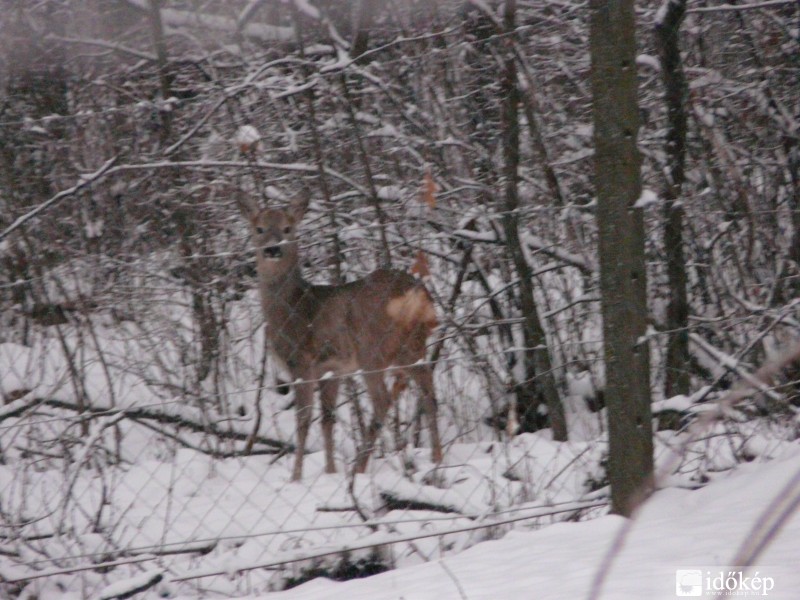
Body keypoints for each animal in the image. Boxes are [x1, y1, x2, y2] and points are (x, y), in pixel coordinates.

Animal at [242, 193, 444, 482]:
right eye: (259, 229)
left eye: (287, 228)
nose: (272, 249)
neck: (293, 308)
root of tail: (417, 296)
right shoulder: (332, 369)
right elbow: (328, 419)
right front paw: (330, 471)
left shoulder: (301, 361)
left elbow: (304, 419)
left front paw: (296, 476)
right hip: (412, 348)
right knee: (429, 392)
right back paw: (437, 459)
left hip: (372, 349)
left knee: (383, 399)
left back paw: (360, 468)